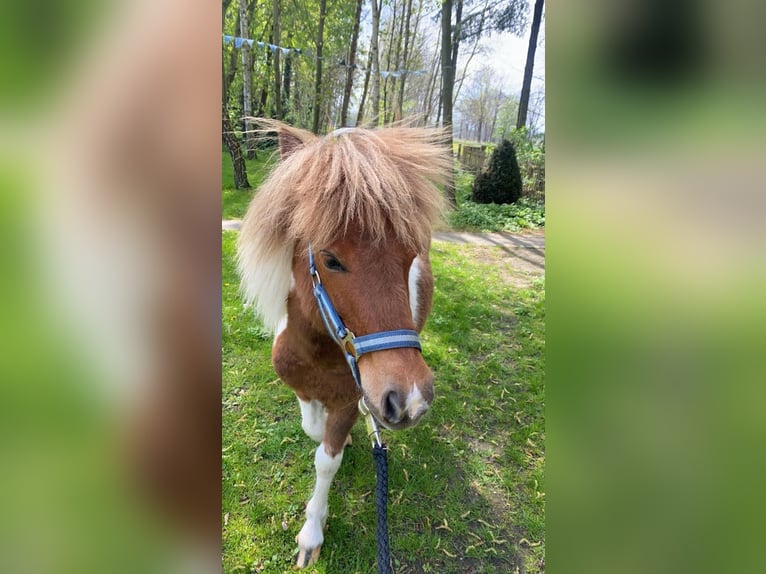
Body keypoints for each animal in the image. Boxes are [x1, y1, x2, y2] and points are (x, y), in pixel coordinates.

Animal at [237, 120, 452, 568]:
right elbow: (311, 426)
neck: (319, 352)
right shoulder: (303, 388)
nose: (409, 400)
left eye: (411, 255)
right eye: (331, 259)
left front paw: (311, 533)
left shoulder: (353, 398)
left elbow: (326, 458)